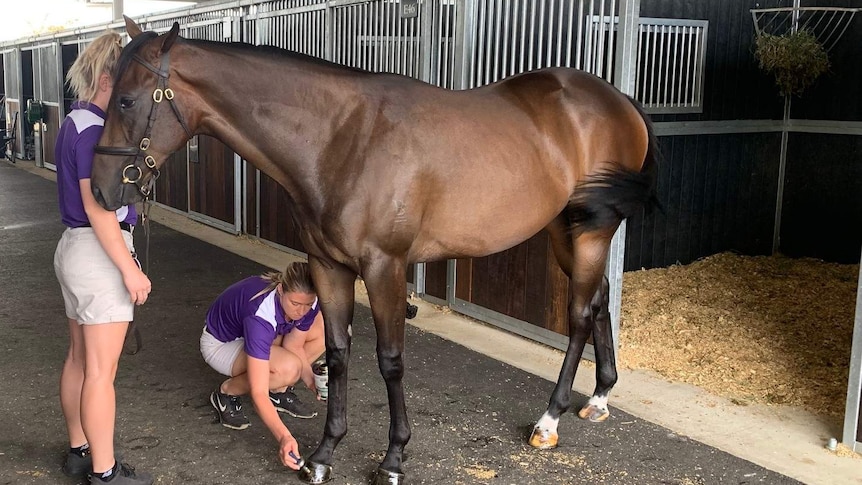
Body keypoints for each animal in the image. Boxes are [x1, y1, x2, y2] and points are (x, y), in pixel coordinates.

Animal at [91, 18, 660, 484]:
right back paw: (600, 398)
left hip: (592, 230)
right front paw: (323, 454)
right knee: (600, 302)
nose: (99, 189)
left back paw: (549, 420)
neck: (340, 140)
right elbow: (339, 354)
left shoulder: (386, 268)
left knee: (580, 315)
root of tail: (618, 99)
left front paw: (393, 459)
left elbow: (390, 361)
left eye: (125, 101)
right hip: (565, 230)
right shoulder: (329, 267)